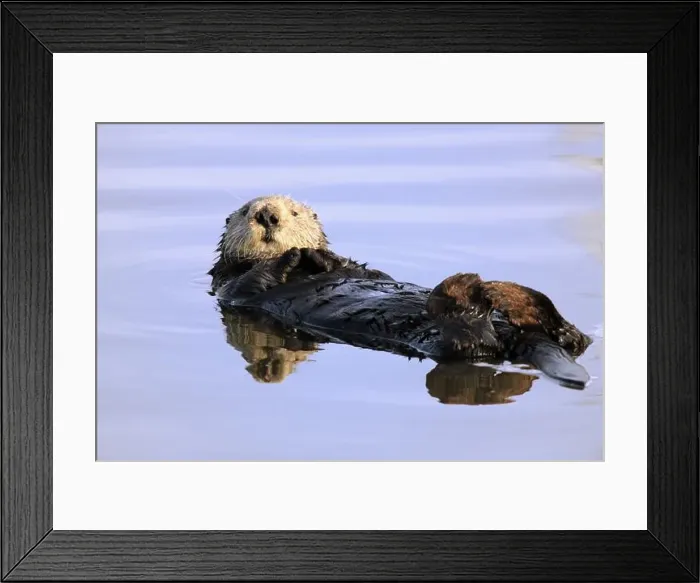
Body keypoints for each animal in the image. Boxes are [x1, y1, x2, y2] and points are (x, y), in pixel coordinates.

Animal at [209, 195, 593, 388]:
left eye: (294, 212)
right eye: (246, 211)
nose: (268, 216)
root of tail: (516, 334)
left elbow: (355, 267)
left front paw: (320, 256)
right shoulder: (230, 287)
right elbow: (251, 282)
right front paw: (291, 256)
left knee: (574, 336)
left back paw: (499, 294)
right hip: (454, 343)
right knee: (474, 339)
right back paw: (468, 289)